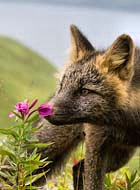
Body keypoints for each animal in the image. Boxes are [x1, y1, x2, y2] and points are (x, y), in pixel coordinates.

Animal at [33, 25, 140, 190]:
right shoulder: (95, 141)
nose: (44, 109)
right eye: (62, 87)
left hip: (120, 156)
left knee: (78, 168)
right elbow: (93, 184)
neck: (129, 122)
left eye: (84, 91)